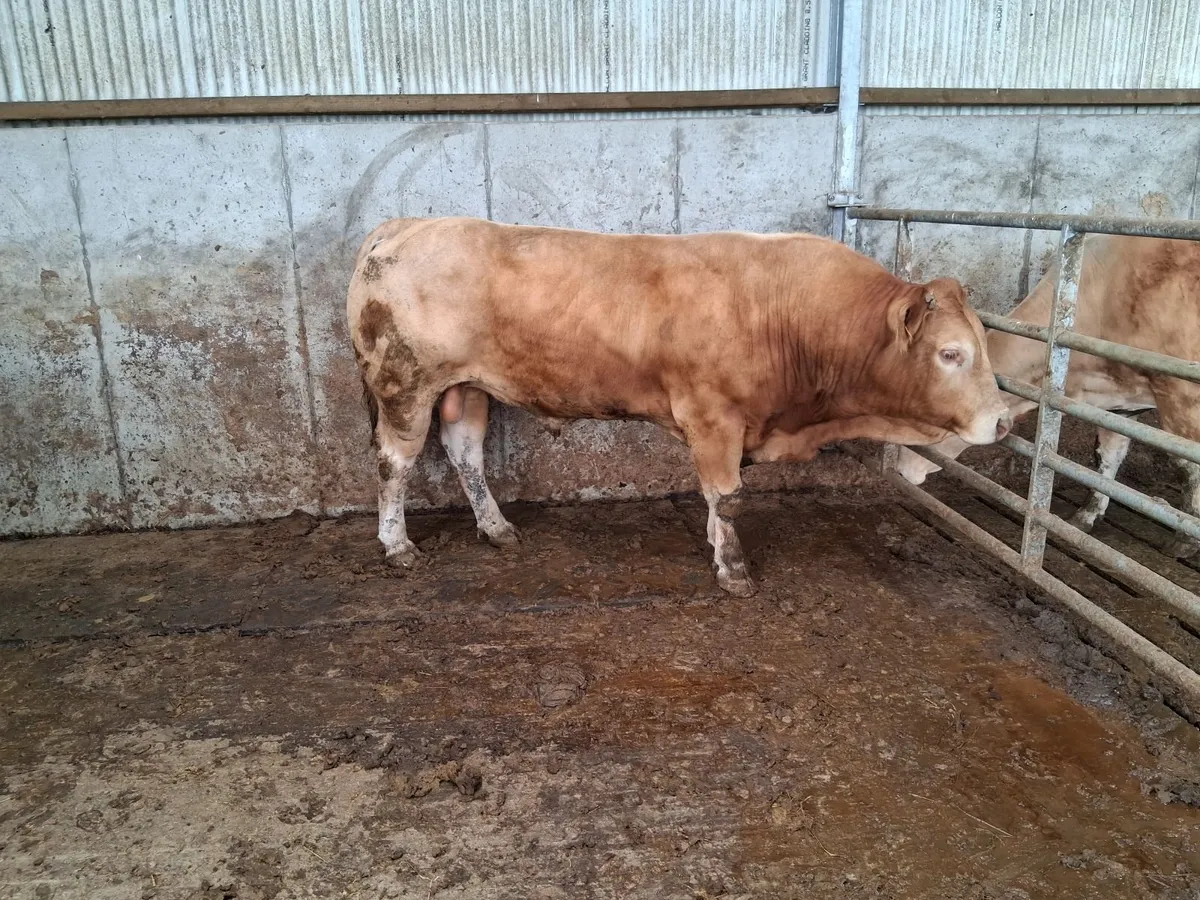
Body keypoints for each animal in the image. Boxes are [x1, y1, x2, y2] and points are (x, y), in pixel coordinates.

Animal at [349, 217, 1012, 596]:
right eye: (951, 353)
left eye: (984, 343)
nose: (1005, 420)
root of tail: (406, 223)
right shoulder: (713, 416)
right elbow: (729, 495)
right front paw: (734, 571)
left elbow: (718, 497)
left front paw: (716, 545)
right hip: (405, 383)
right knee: (394, 464)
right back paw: (397, 547)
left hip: (467, 386)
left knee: (464, 451)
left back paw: (496, 528)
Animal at [896, 234, 1200, 558]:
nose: (901, 470)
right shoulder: (1118, 405)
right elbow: (1108, 454)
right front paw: (1088, 514)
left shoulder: (1182, 396)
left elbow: (1186, 465)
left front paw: (1186, 538)